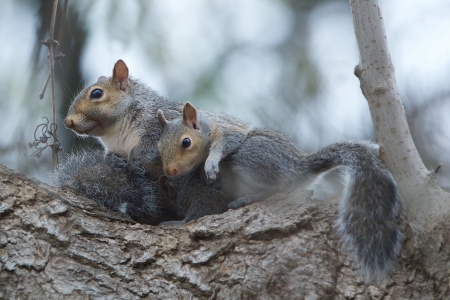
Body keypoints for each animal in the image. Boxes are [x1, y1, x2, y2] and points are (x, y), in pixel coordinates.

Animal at [157, 102, 404, 282]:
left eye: (186, 142)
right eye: (159, 147)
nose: (169, 170)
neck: (206, 125)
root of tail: (299, 165)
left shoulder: (225, 129)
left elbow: (225, 143)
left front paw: (210, 163)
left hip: (252, 157)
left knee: (277, 188)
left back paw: (247, 198)